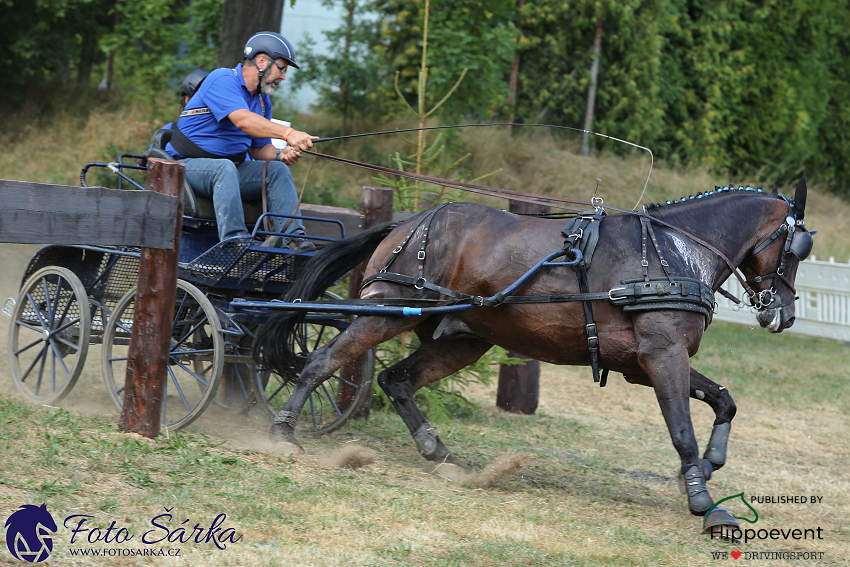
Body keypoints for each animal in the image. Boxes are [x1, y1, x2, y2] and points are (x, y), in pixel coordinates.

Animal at [255, 180, 812, 516]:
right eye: (797, 250)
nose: (782, 313)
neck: (674, 254)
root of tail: (409, 223)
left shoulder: (643, 364)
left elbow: (724, 400)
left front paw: (711, 464)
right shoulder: (662, 355)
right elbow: (681, 430)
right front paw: (702, 498)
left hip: (463, 340)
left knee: (397, 380)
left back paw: (441, 455)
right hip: (389, 310)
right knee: (323, 361)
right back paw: (282, 433)